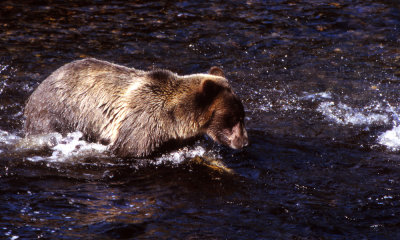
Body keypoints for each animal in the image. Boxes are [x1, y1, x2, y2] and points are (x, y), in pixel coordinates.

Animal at [23, 57, 248, 157]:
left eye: (242, 116)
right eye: (234, 118)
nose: (245, 142)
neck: (175, 119)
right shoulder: (142, 125)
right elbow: (128, 149)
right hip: (58, 113)